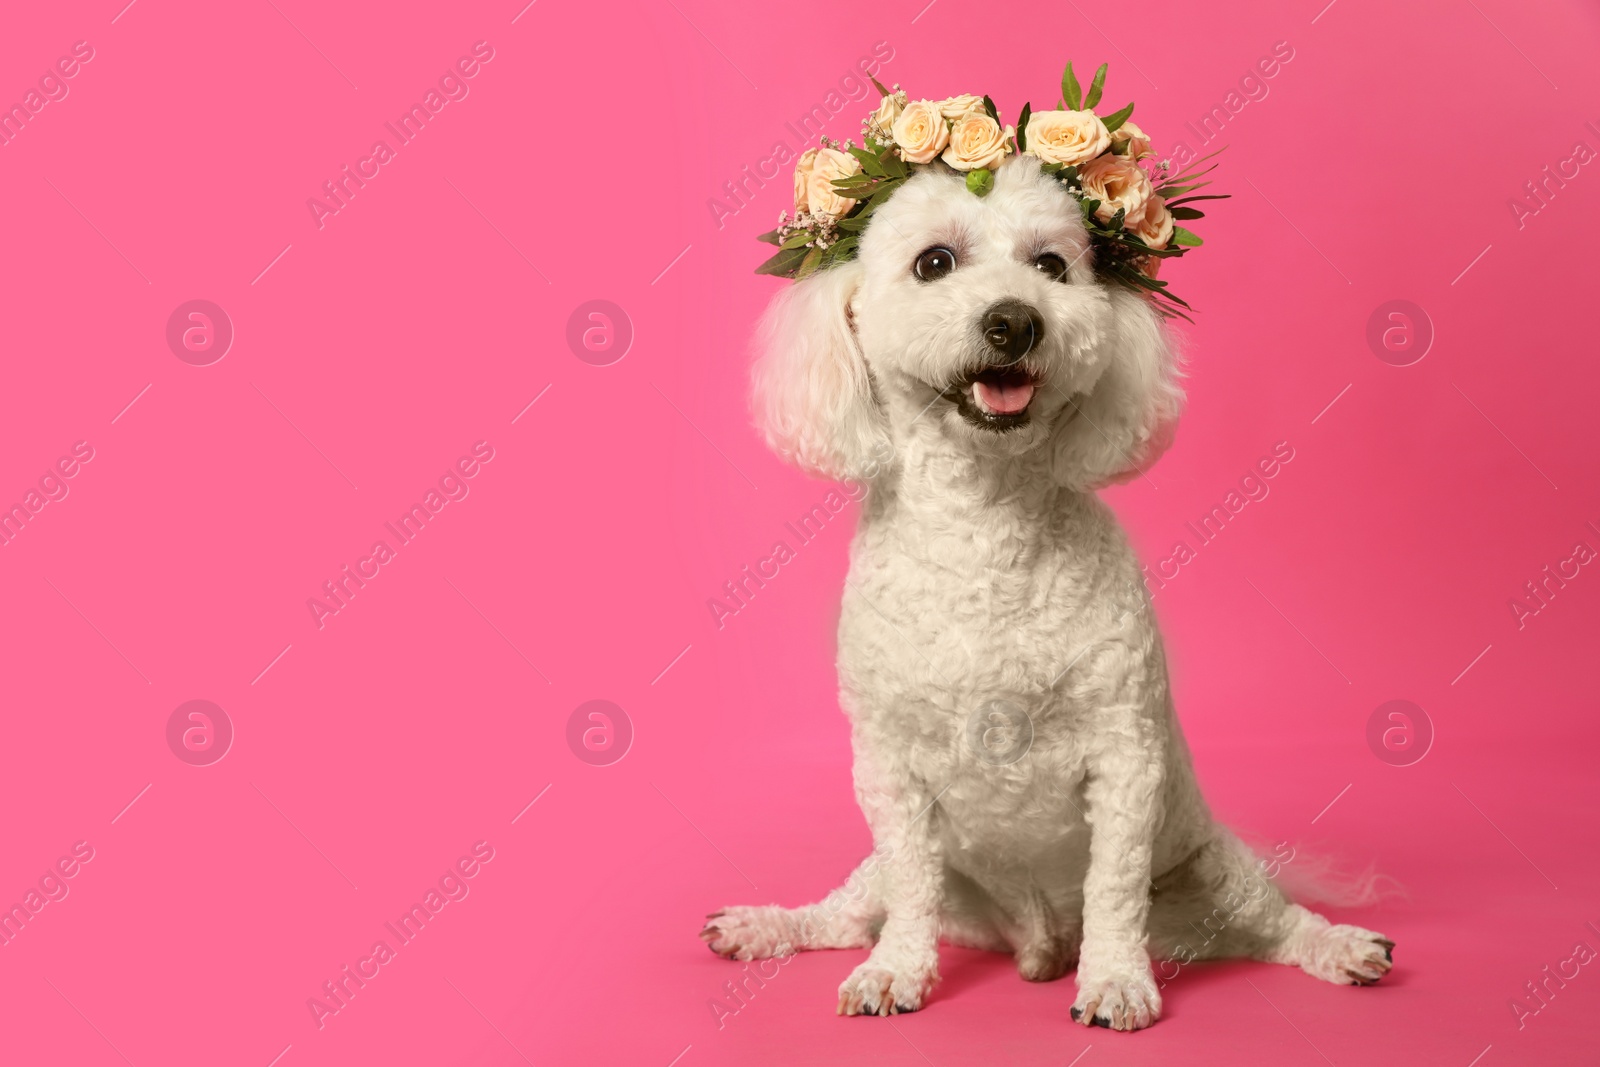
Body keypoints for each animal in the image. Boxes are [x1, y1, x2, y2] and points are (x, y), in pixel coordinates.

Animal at [707, 154, 1395, 1030]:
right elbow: (909, 886)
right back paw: (767, 925)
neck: (985, 523)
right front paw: (895, 970)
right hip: (912, 877)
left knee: (1275, 927)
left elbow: (1115, 887)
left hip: (1213, 873)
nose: (1015, 321)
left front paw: (1116, 981)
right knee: (851, 912)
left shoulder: (1126, 754)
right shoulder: (889, 770)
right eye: (935, 262)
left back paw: (1339, 946)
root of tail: (1035, 939)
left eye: (1052, 266)